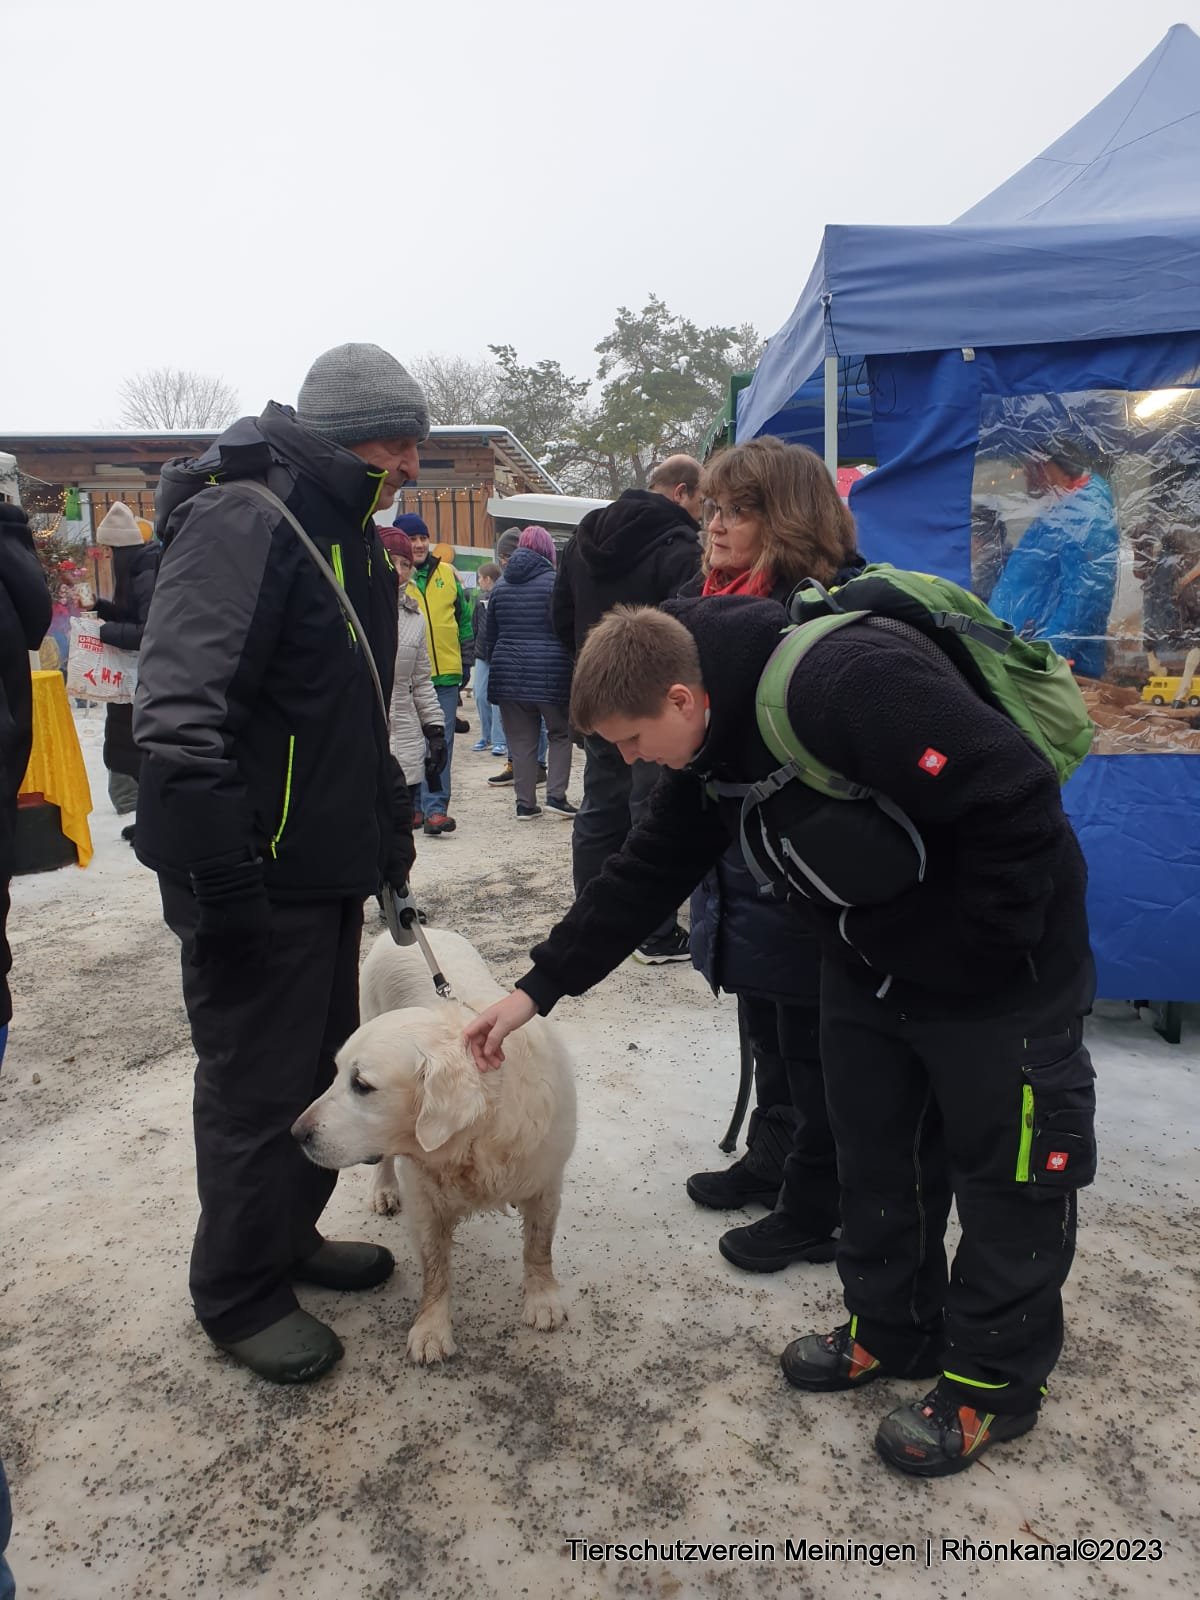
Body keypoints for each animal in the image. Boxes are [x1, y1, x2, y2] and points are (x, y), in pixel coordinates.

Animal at [289, 934, 572, 1369]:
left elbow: (538, 1246)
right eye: (336, 1074)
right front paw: (431, 1330)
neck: (479, 1137)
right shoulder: (424, 1199)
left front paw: (542, 1299)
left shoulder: (546, 1182)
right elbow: (435, 1269)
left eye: (362, 1085)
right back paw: (383, 1189)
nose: (296, 1132)